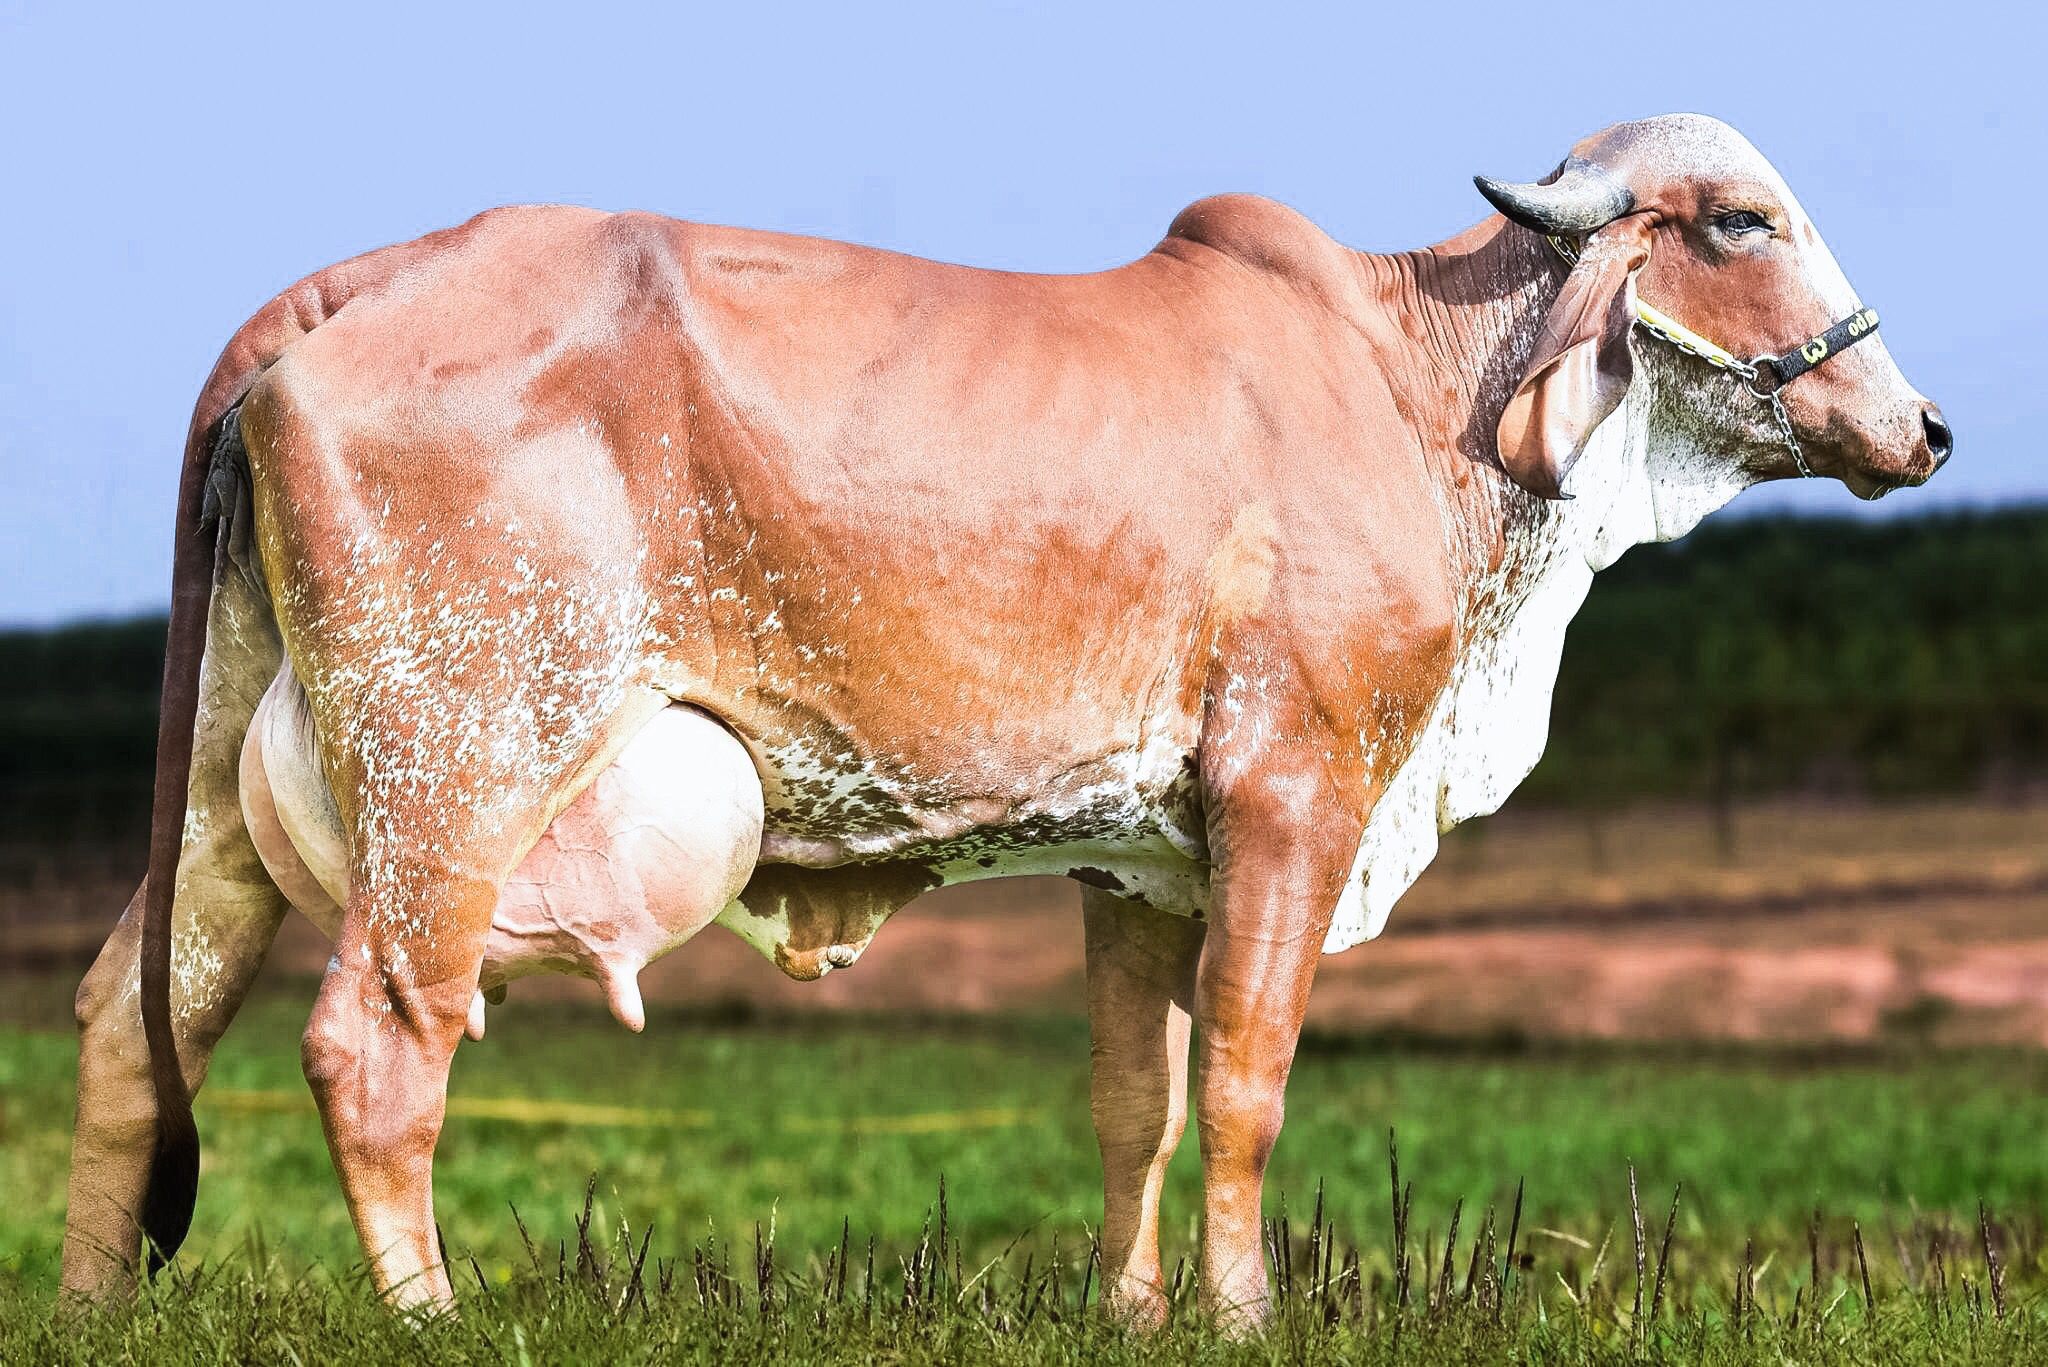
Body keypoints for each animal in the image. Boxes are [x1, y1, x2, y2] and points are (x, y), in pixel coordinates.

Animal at [62, 114, 1947, 1324]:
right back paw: (433, 1314)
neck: (1425, 392)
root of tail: (353, 285)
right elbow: (1247, 1075)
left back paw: (89, 1306)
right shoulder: (1292, 788)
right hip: (453, 769)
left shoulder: (1143, 857)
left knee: (139, 1014)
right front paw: (1243, 1314)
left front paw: (1132, 1309)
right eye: (1742, 222)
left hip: (236, 790)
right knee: (376, 1040)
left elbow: (1138, 1097)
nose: (1921, 424)